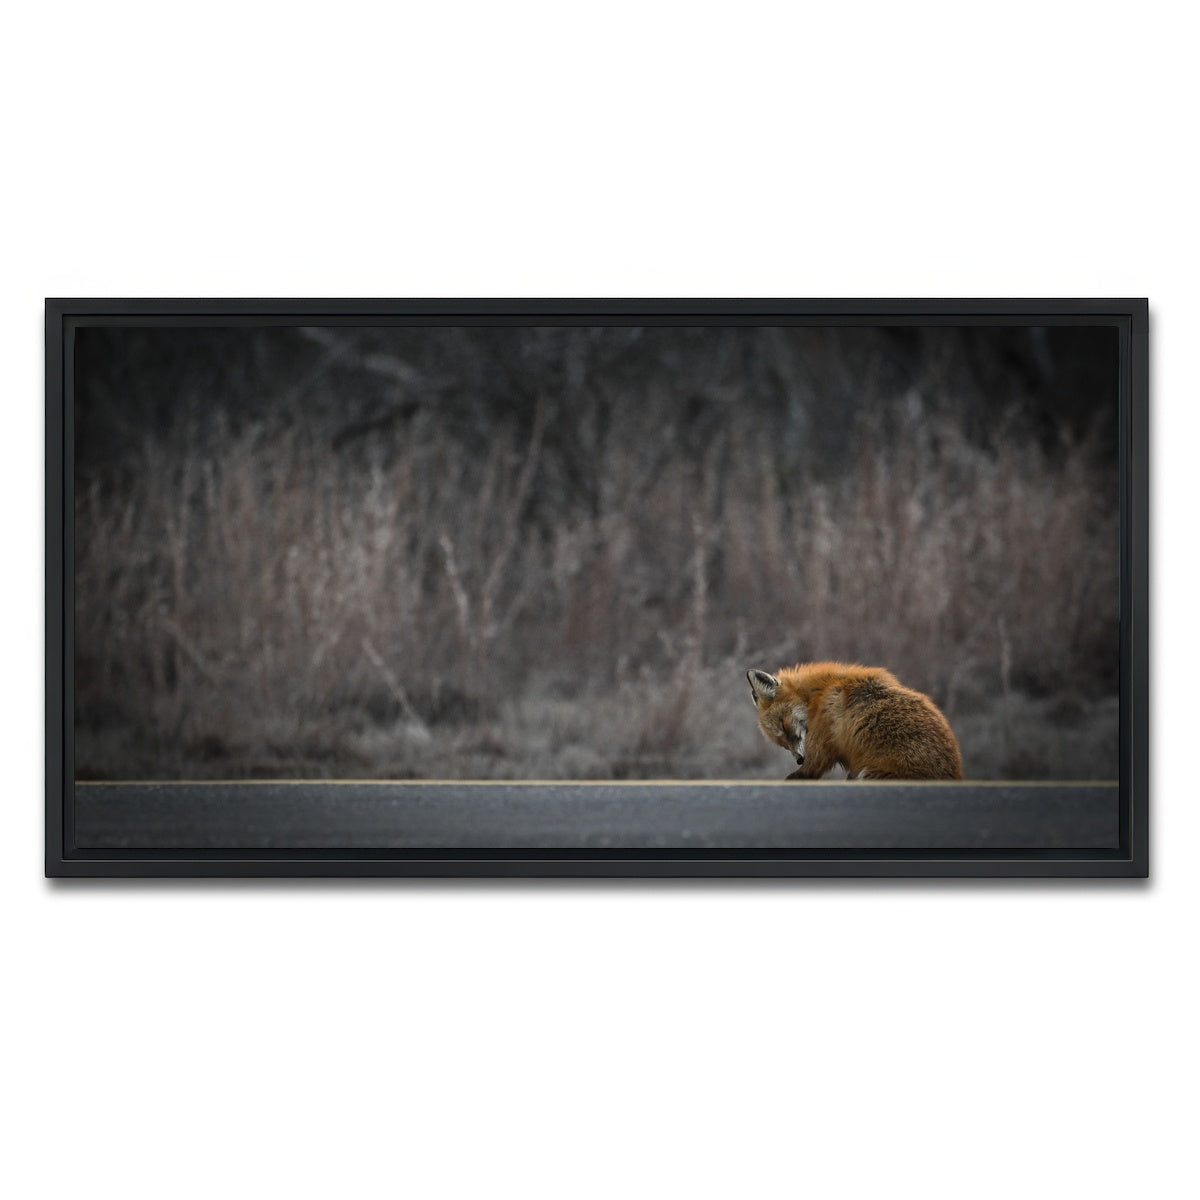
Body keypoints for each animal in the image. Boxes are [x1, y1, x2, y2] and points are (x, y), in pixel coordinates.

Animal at [746, 662, 964, 780]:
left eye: (784, 726)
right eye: (782, 743)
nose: (799, 758)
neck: (819, 693)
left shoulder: (822, 742)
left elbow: (808, 769)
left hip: (868, 775)